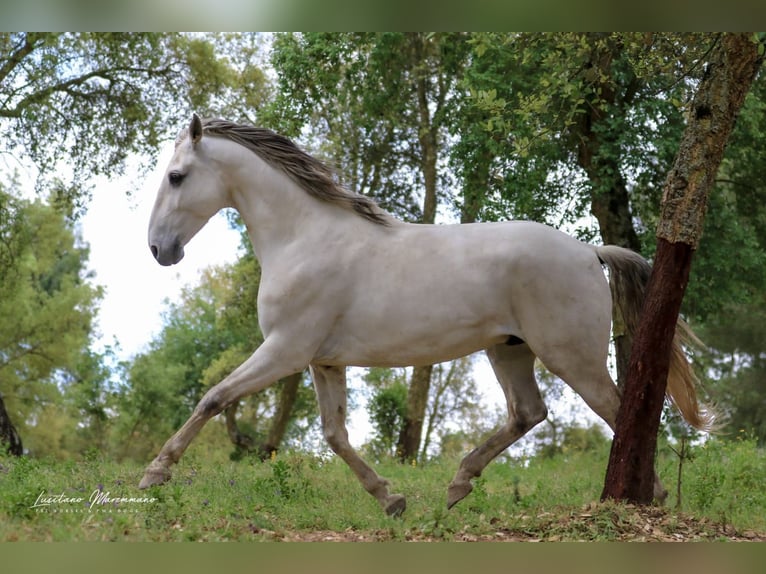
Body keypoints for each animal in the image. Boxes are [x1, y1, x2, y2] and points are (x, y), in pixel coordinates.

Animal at [141, 113, 716, 516]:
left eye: (177, 176)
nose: (158, 249)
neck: (304, 237)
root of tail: (589, 250)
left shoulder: (284, 350)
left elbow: (214, 397)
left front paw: (154, 474)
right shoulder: (323, 361)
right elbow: (334, 434)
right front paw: (390, 500)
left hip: (571, 356)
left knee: (618, 411)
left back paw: (644, 497)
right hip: (509, 351)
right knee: (529, 413)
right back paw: (459, 485)